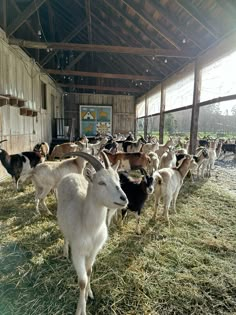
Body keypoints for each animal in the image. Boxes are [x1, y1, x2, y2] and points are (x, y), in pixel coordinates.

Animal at [56, 152, 128, 314]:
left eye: (118, 180)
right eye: (101, 182)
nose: (124, 199)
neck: (89, 227)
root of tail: (71, 175)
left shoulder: (94, 250)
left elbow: (88, 272)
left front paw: (89, 293)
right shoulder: (78, 252)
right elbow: (82, 281)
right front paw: (81, 309)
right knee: (65, 235)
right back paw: (64, 252)